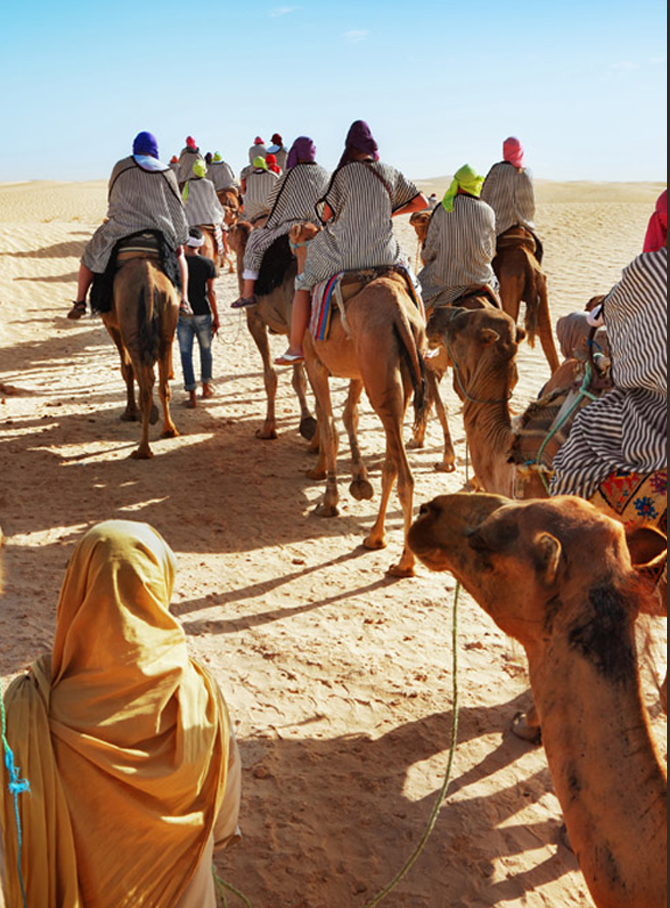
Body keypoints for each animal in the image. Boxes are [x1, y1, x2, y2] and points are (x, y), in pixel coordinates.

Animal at [102, 253, 180, 459]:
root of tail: (149, 286)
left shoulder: (113, 325)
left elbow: (127, 370)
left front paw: (130, 412)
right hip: (166, 323)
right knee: (162, 386)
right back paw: (169, 430)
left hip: (132, 332)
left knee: (145, 388)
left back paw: (143, 449)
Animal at [227, 222, 317, 441]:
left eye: (230, 230)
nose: (225, 230)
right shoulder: (289, 329)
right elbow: (299, 379)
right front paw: (306, 422)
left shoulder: (255, 321)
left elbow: (270, 376)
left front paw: (267, 428)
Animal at [288, 226, 427, 577]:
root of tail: (397, 311)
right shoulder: (358, 373)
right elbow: (349, 415)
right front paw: (359, 482)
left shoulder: (315, 364)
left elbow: (328, 426)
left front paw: (329, 499)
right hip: (395, 373)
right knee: (392, 462)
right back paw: (375, 536)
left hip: (378, 370)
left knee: (405, 474)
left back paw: (404, 562)